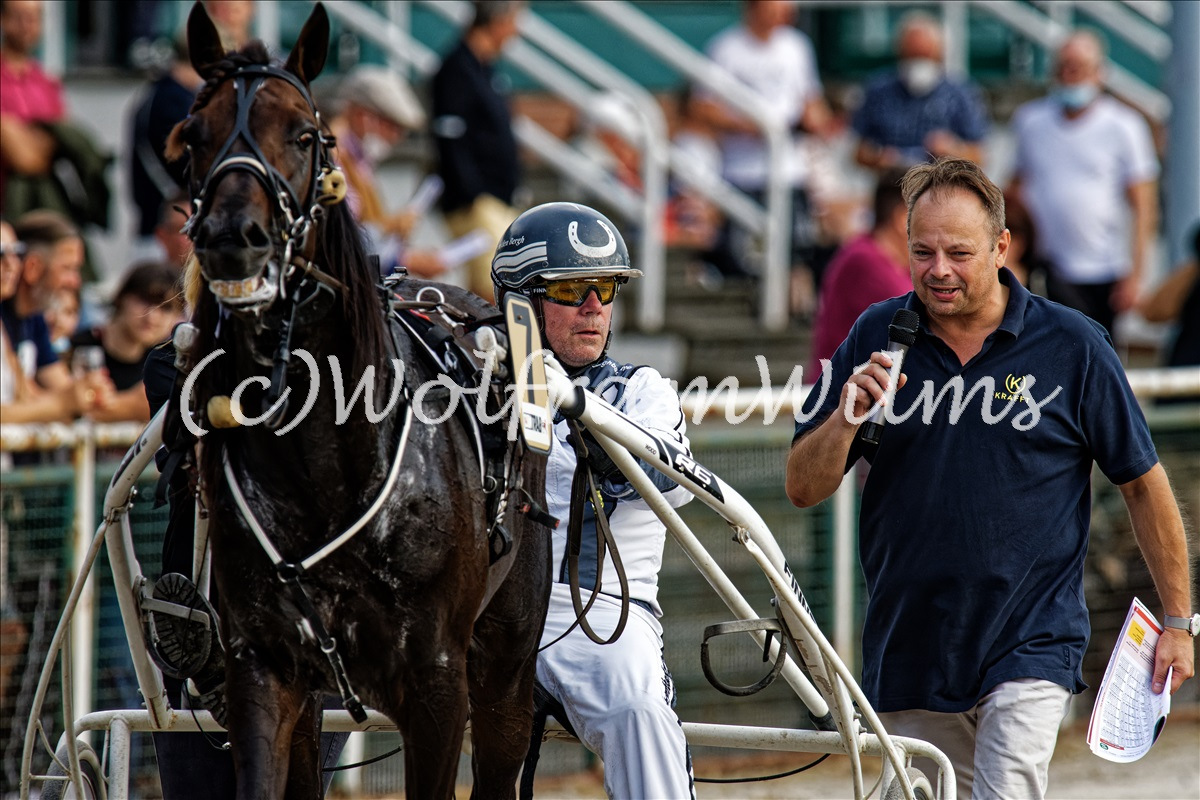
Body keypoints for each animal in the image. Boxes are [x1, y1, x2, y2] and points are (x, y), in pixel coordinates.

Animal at [168, 4, 550, 797]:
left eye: (304, 135)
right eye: (193, 136)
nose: (231, 237)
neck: (325, 458)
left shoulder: (438, 684)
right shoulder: (266, 667)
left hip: (505, 667)